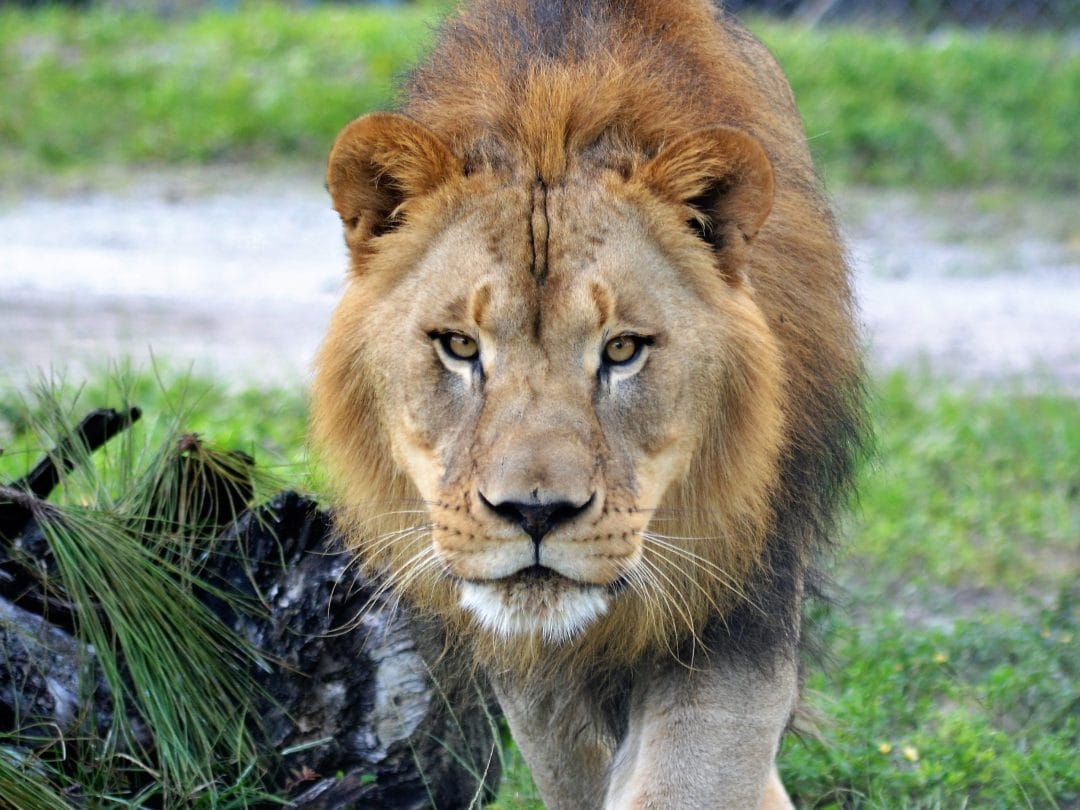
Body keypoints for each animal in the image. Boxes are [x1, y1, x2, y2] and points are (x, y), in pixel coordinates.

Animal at [311, 0, 865, 806]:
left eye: (623, 349)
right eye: (460, 345)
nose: (535, 513)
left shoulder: (744, 609)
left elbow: (692, 775)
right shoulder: (529, 667)